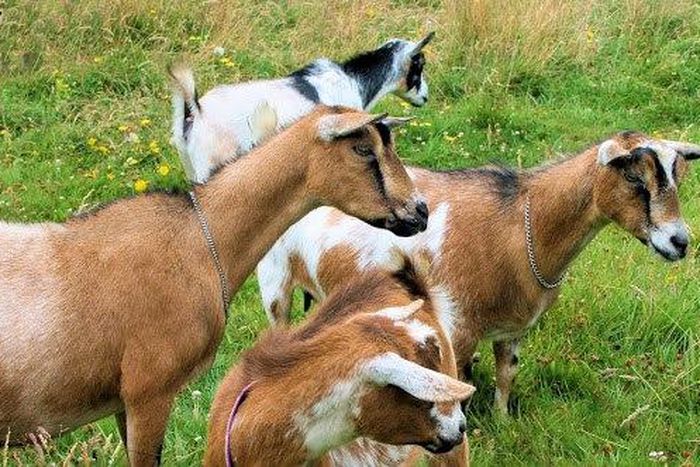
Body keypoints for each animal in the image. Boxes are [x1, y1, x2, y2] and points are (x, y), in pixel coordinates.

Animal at [170, 32, 434, 183]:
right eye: (419, 65)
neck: (353, 81)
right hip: (211, 164)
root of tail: (195, 112)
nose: (425, 98)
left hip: (191, 167)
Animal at [255, 131, 700, 414]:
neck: (521, 225)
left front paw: (502, 423)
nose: (680, 241)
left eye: (678, 178)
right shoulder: (456, 324)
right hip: (275, 283)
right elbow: (456, 386)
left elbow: (506, 375)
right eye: (634, 178)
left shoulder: (513, 328)